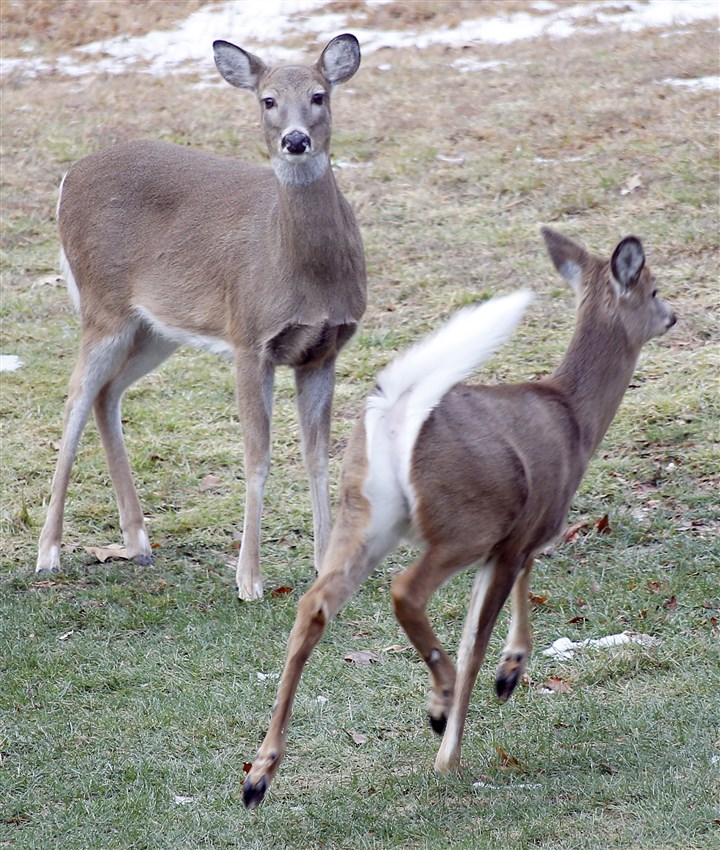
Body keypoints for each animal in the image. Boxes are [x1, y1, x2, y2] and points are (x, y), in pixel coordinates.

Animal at [35, 34, 367, 601]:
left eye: (320, 95)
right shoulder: (250, 339)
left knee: (106, 395)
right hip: (102, 306)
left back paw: (138, 541)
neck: (306, 275)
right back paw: (48, 553)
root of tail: (67, 179)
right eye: (267, 100)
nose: (295, 140)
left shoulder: (323, 350)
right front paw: (249, 579)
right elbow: (257, 459)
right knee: (76, 398)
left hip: (155, 327)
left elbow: (319, 457)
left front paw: (325, 566)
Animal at [241, 227, 676, 807]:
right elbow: (476, 639)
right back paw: (440, 702)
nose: (671, 315)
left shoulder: (519, 532)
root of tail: (397, 413)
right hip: (459, 523)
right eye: (652, 290)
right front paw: (454, 747)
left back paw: (258, 776)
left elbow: (515, 589)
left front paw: (510, 673)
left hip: (365, 516)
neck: (575, 419)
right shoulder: (515, 532)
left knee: (312, 606)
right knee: (406, 591)